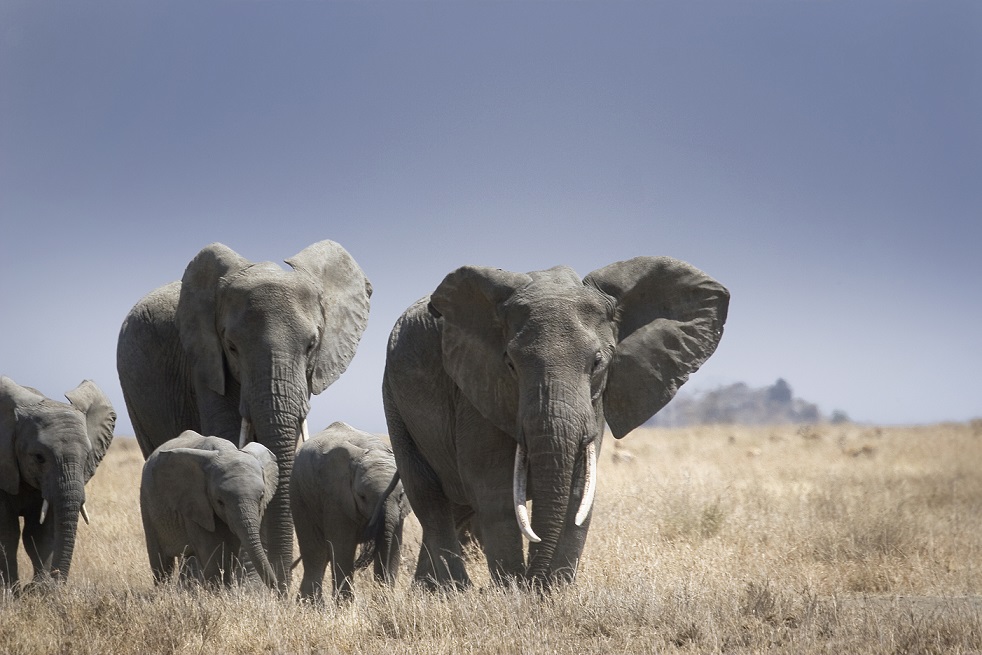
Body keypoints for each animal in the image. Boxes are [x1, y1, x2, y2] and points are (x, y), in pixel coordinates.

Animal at [0, 376, 116, 588]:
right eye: (39, 457)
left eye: (87, 456)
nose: (55, 581)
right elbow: (7, 532)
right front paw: (11, 591)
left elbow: (39, 533)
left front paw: (39, 589)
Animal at [140, 431, 279, 588]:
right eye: (220, 502)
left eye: (261, 497)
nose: (277, 590)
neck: (226, 450)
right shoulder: (197, 503)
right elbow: (213, 553)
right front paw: (219, 592)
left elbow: (230, 550)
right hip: (147, 501)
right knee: (160, 560)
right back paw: (164, 590)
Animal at [291, 421, 410, 603]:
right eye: (362, 497)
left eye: (402, 495)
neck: (373, 449)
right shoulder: (335, 498)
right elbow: (343, 547)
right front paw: (345, 606)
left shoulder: (399, 512)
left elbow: (394, 545)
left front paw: (385, 601)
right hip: (300, 496)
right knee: (315, 552)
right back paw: (309, 605)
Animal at [382, 256, 729, 589]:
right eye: (510, 364)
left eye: (598, 362)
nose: (533, 582)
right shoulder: (474, 386)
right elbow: (493, 487)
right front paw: (513, 592)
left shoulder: (593, 403)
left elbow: (580, 488)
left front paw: (553, 592)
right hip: (394, 401)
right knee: (428, 494)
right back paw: (453, 589)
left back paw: (430, 591)